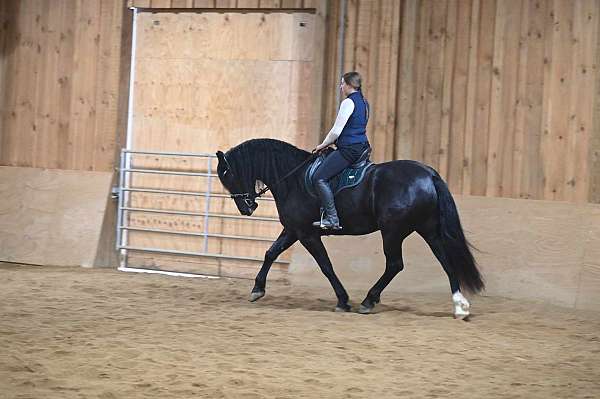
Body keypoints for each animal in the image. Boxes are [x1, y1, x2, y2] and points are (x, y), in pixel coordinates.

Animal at [216, 139, 482, 320]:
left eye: (228, 176)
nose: (246, 208)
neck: (293, 179)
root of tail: (428, 174)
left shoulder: (307, 234)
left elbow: (325, 266)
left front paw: (343, 300)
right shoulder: (293, 230)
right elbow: (270, 253)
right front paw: (257, 289)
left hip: (392, 232)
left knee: (395, 265)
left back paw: (369, 300)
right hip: (427, 229)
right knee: (445, 260)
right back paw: (459, 306)